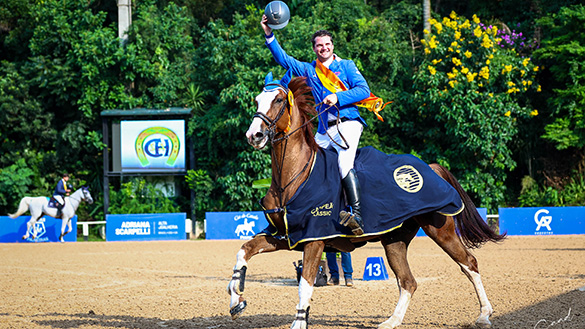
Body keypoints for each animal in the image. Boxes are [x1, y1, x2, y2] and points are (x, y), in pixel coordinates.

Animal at [228, 73, 502, 326]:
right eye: (257, 100)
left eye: (278, 100)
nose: (254, 135)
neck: (292, 178)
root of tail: (430, 167)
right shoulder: (285, 236)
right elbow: (243, 252)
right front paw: (236, 298)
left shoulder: (314, 240)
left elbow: (305, 283)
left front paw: (299, 321)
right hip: (394, 240)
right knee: (408, 281)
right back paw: (392, 321)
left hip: (440, 230)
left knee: (469, 263)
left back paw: (484, 314)